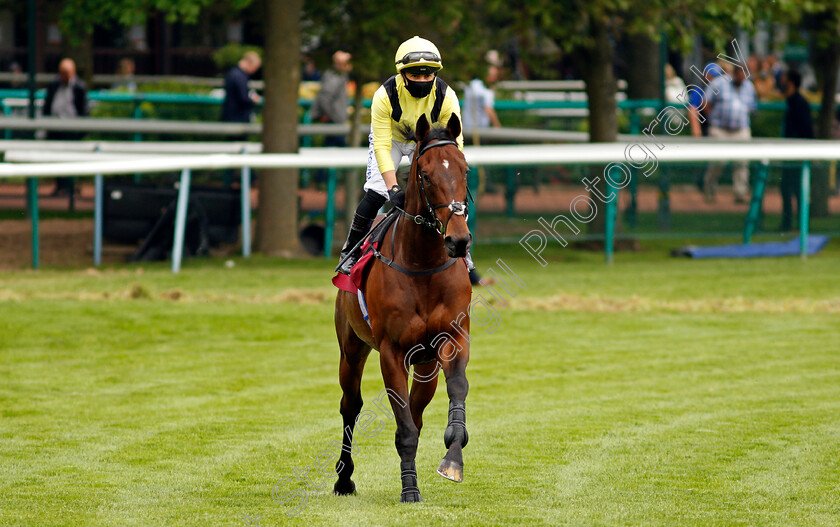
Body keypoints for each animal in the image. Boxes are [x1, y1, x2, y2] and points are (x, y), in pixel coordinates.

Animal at [334, 114, 472, 504]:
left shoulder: (453, 338)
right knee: (351, 405)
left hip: (425, 364)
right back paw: (343, 478)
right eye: (424, 174)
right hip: (351, 348)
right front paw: (410, 489)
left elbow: (457, 389)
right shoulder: (391, 352)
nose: (458, 240)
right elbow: (404, 426)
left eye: (465, 169)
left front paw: (452, 458)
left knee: (417, 408)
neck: (423, 263)